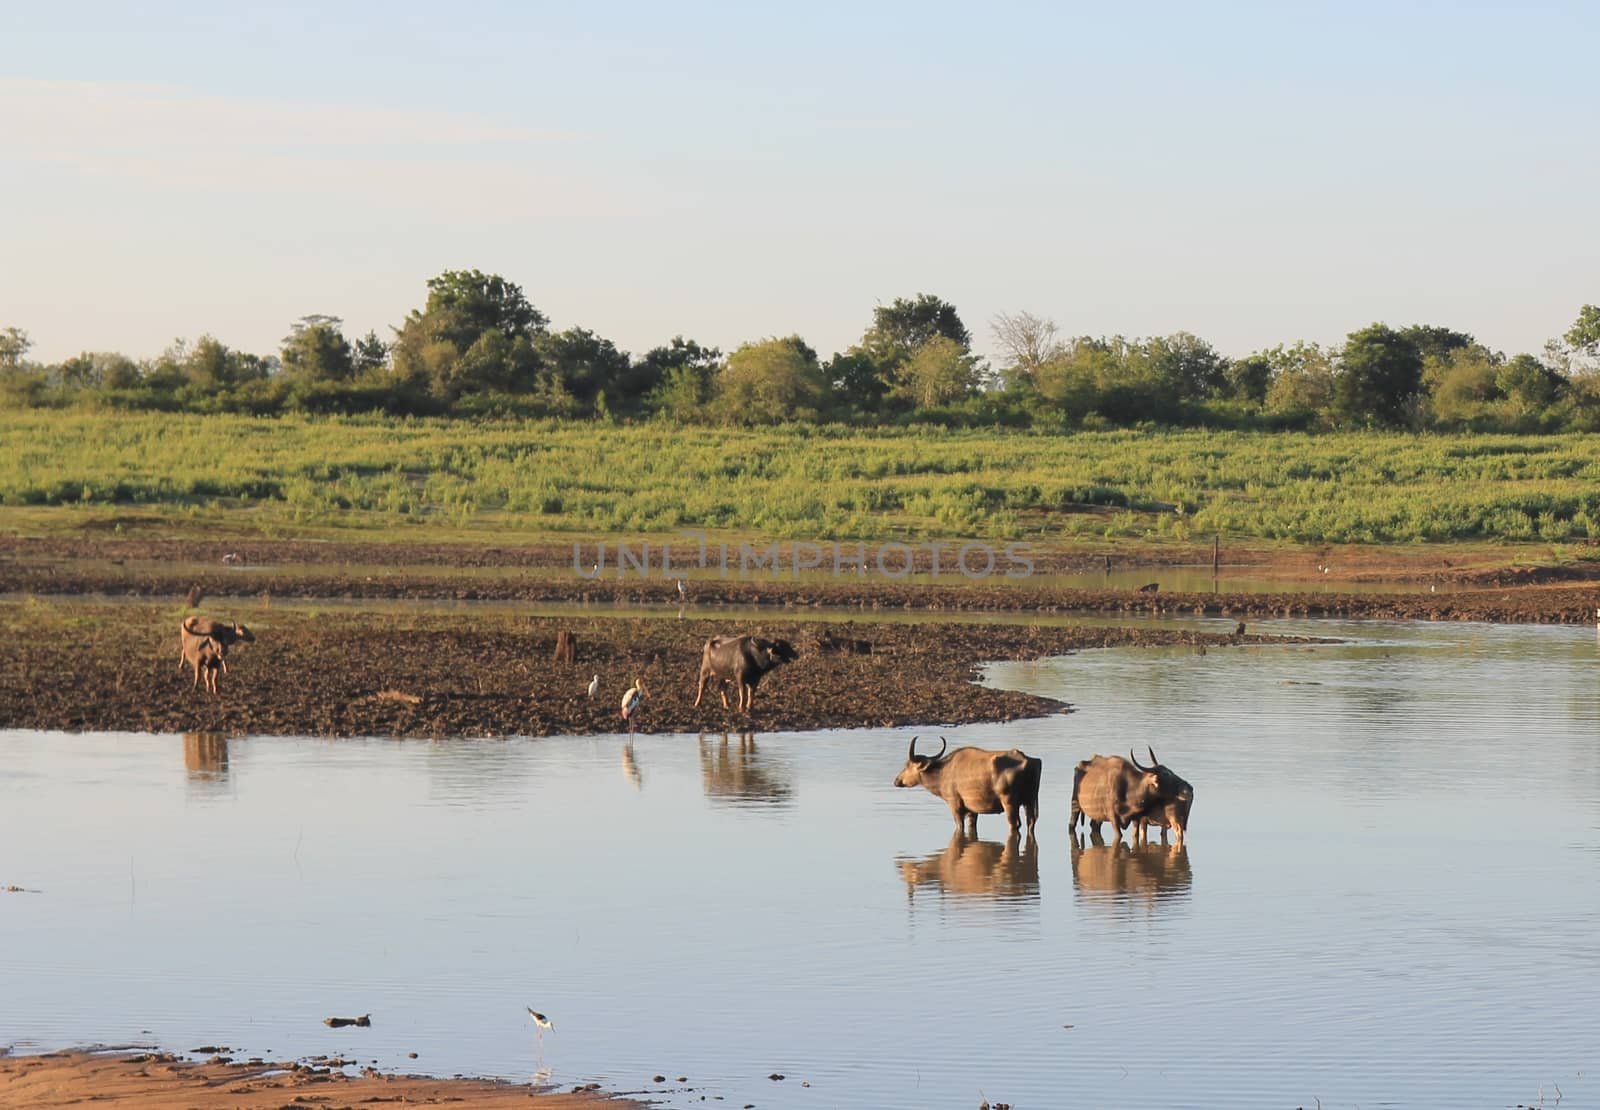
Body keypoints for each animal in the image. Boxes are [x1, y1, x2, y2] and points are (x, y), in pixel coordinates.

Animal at [896, 738, 1043, 831]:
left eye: (907, 765)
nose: (897, 780)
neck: (942, 774)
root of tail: (1029, 762)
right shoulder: (973, 810)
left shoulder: (954, 804)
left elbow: (959, 827)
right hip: (1030, 800)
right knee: (1031, 822)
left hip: (1010, 802)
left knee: (1015, 824)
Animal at [1068, 751, 1196, 850]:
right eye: (1166, 774)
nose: (1189, 787)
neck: (1130, 791)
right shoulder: (1114, 818)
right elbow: (1120, 836)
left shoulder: (1136, 819)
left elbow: (1136, 836)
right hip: (1075, 803)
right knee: (1072, 824)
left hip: (1098, 816)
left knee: (1094, 826)